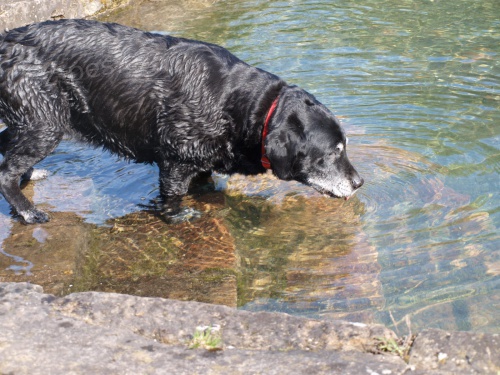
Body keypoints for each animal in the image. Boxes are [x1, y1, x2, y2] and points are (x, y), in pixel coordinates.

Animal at [0, 19, 364, 223]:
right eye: (333, 152)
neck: (240, 107)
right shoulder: (175, 158)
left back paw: (30, 175)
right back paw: (27, 209)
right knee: (6, 171)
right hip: (45, 119)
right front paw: (178, 216)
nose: (360, 183)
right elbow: (173, 195)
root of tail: (6, 41)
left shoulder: (203, 160)